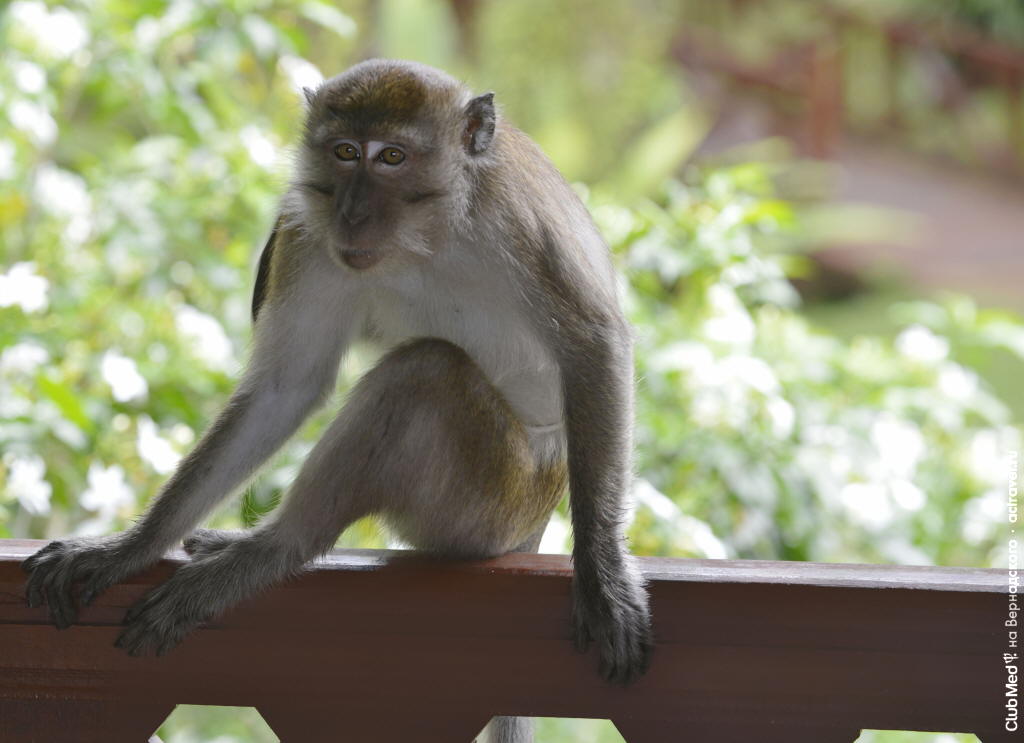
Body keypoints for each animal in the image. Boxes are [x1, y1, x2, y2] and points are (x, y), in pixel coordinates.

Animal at [22, 59, 647, 743]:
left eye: (392, 156)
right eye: (346, 152)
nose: (352, 211)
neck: (430, 235)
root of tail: (536, 515)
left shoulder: (521, 220)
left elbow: (594, 344)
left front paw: (602, 572)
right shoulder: (306, 227)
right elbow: (284, 386)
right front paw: (129, 547)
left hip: (493, 504)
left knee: (421, 372)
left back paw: (274, 550)